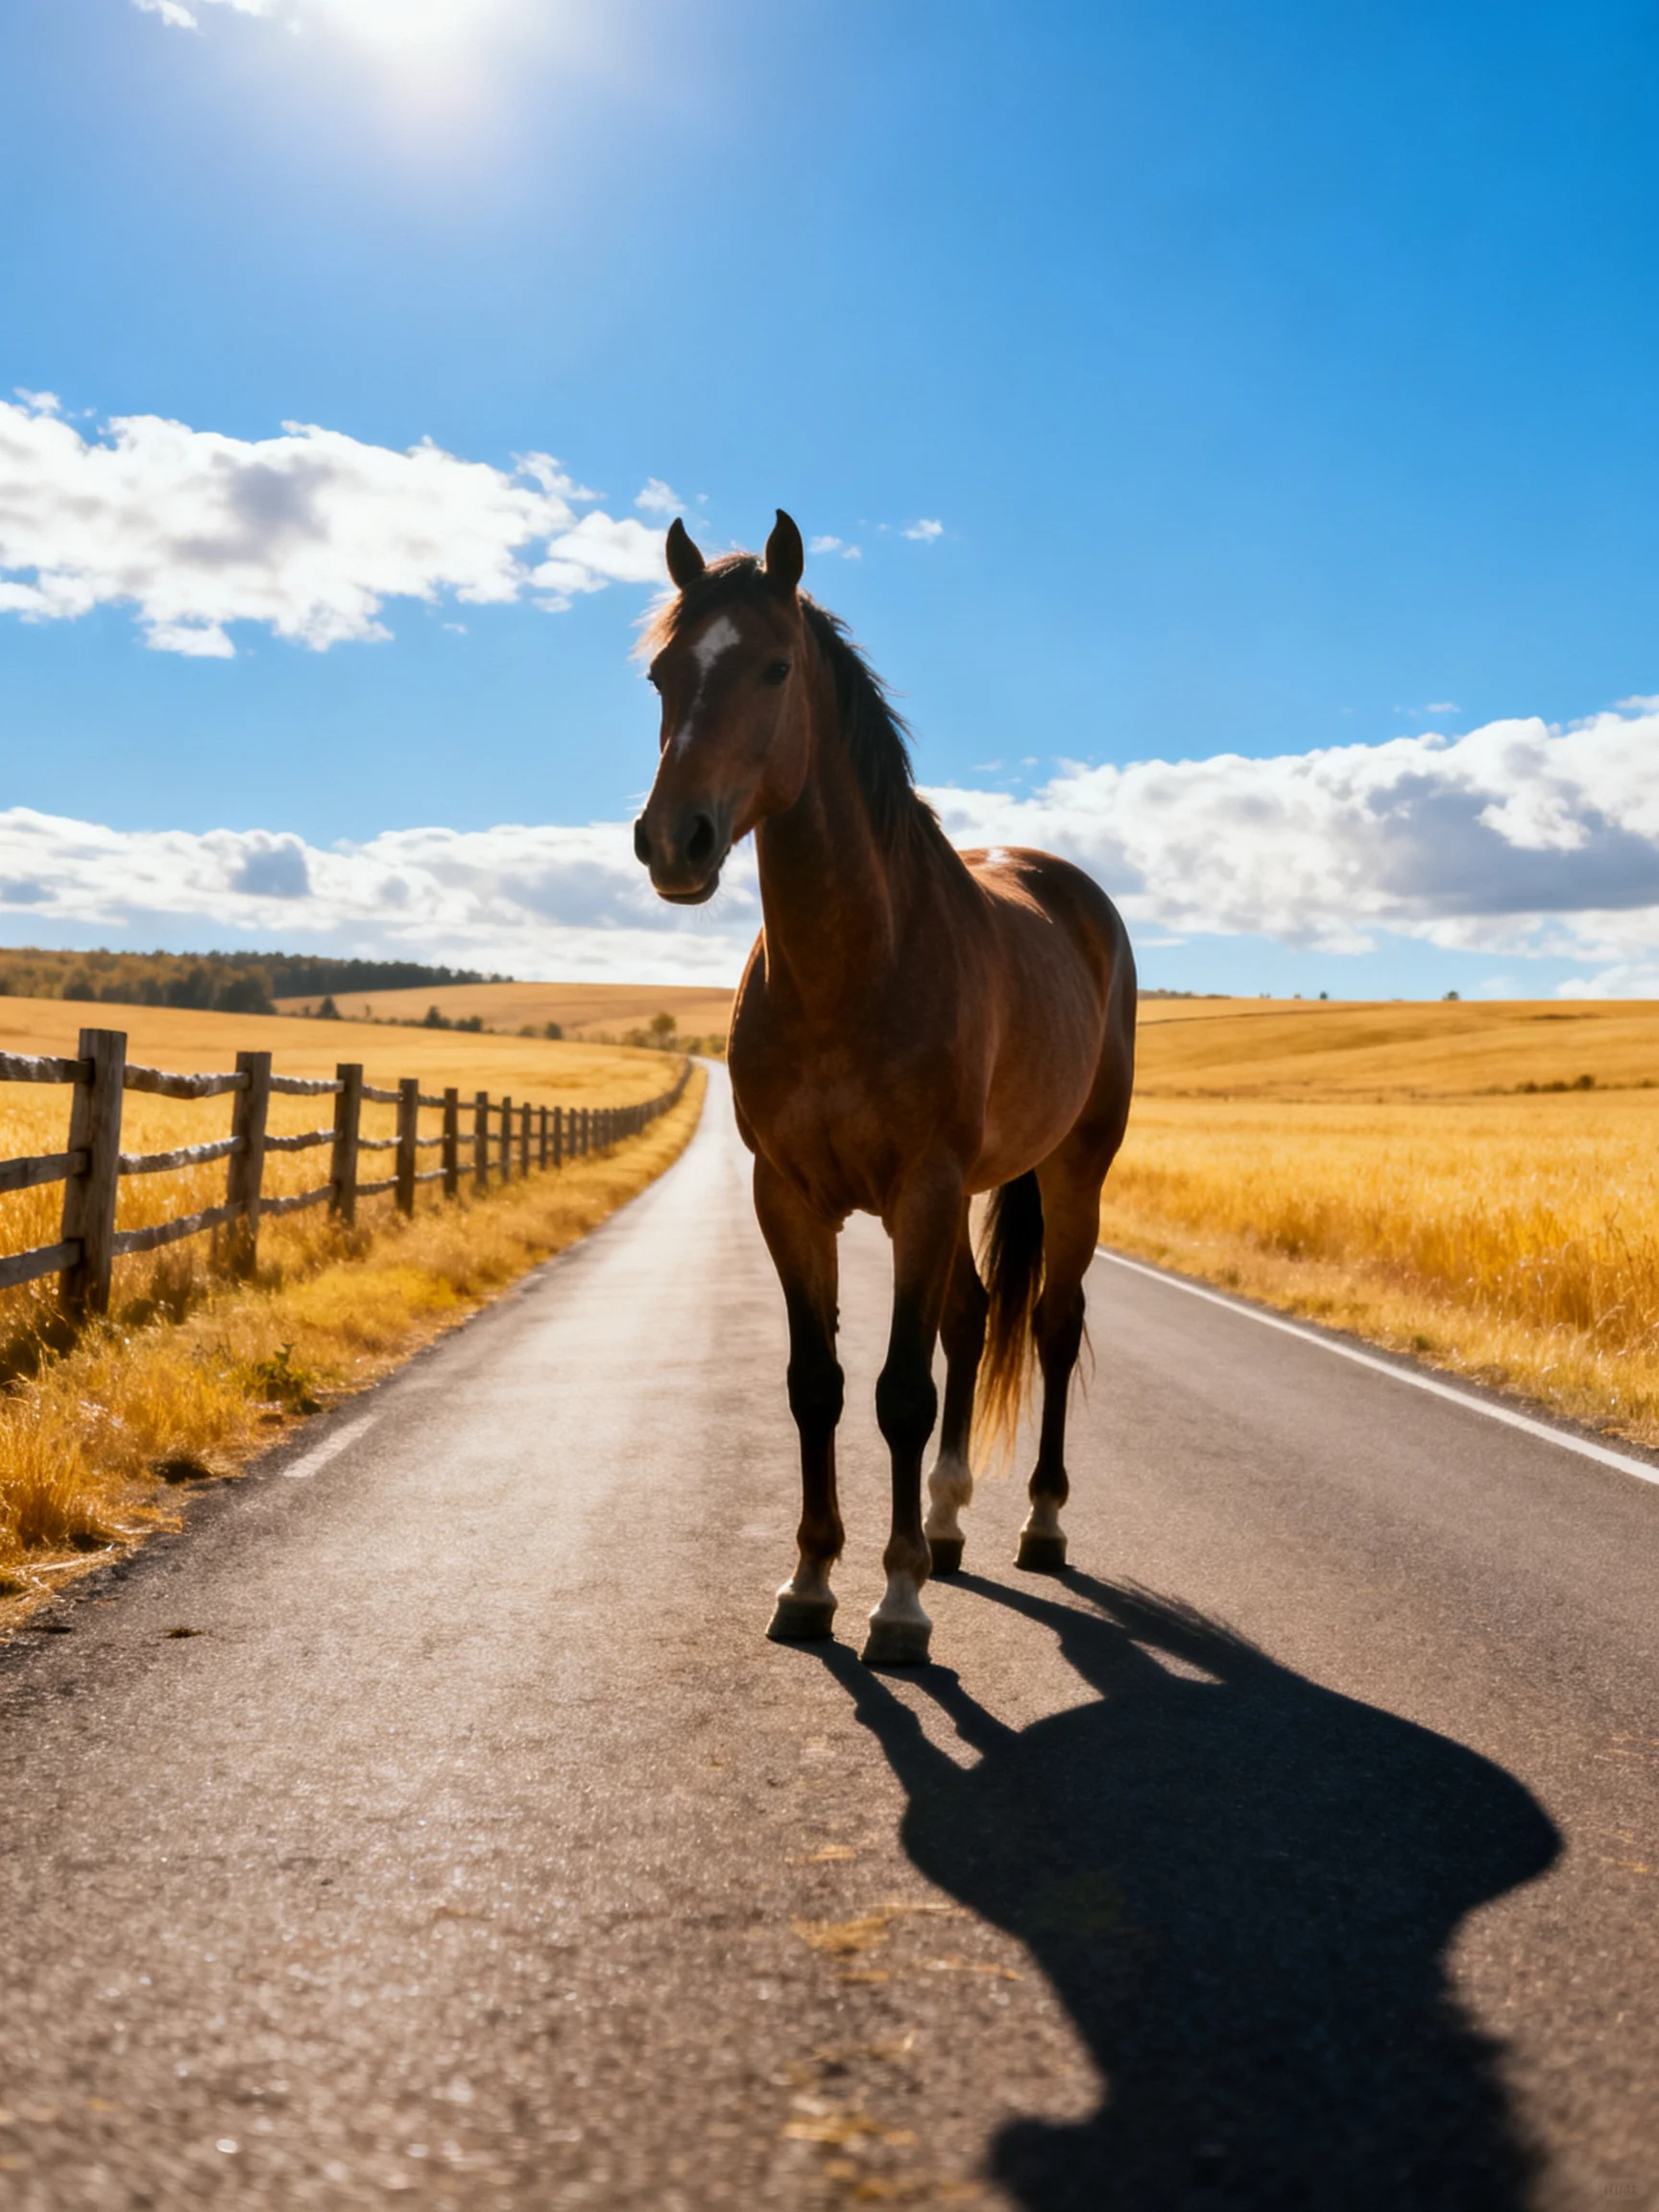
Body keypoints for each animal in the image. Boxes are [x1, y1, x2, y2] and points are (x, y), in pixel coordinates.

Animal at [633, 510, 1136, 1665]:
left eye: (775, 668)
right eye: (662, 675)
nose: (673, 841)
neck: (853, 966)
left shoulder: (924, 1189)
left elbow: (901, 1392)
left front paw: (896, 1604)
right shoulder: (787, 1197)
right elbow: (814, 1386)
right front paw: (811, 1579)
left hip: (1071, 1171)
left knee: (1050, 1323)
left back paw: (1040, 1524)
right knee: (973, 1317)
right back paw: (946, 1522)